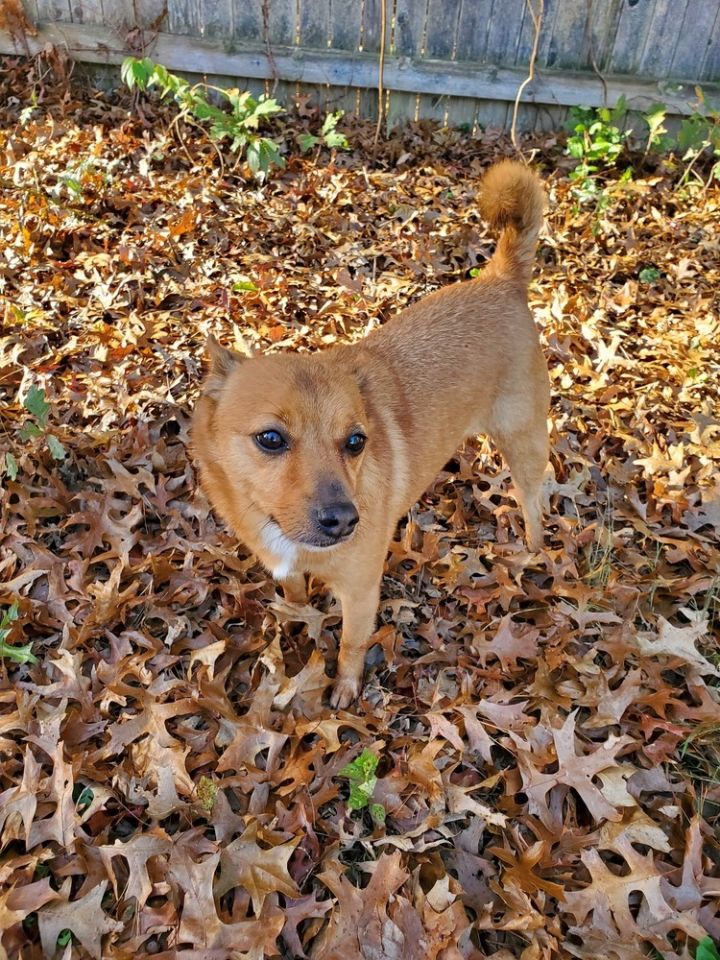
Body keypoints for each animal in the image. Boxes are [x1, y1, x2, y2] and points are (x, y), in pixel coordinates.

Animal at [193, 161, 552, 708]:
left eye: (355, 442)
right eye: (271, 439)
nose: (344, 520)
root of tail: (501, 279)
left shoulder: (361, 591)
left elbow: (350, 644)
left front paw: (345, 687)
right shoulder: (288, 570)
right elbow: (294, 594)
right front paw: (295, 619)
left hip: (525, 441)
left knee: (534, 502)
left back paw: (531, 549)